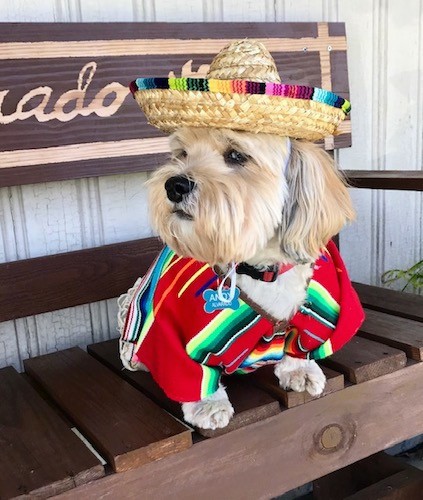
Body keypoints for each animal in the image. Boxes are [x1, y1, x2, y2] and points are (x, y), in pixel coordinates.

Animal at [119, 39, 364, 430]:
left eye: (236, 155)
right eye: (181, 154)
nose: (174, 184)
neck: (261, 267)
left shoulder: (316, 317)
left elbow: (300, 343)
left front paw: (298, 368)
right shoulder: (170, 334)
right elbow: (192, 373)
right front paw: (207, 405)